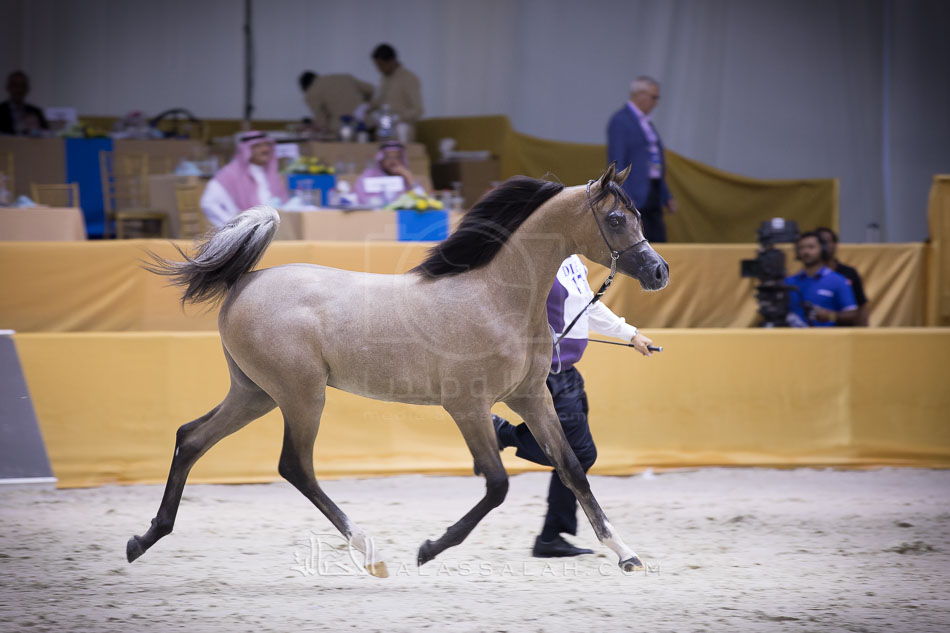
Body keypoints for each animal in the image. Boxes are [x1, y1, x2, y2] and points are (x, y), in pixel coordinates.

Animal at [127, 163, 669, 577]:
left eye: (639, 214)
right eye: (616, 218)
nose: (659, 271)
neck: (496, 298)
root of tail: (245, 281)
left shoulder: (531, 397)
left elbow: (572, 468)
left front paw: (627, 555)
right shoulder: (468, 405)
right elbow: (497, 484)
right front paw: (429, 549)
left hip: (255, 393)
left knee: (191, 438)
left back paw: (144, 539)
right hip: (301, 396)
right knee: (294, 466)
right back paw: (372, 555)